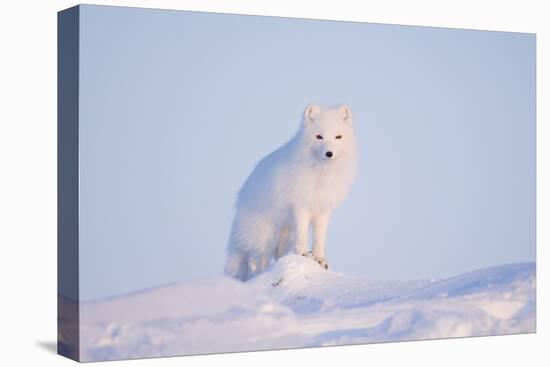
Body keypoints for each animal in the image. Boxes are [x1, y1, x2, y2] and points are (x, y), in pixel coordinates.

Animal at [225, 105, 360, 284]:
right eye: (319, 137)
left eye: (338, 137)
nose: (329, 153)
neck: (321, 174)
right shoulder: (300, 205)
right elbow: (302, 235)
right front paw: (303, 254)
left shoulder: (323, 210)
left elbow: (320, 238)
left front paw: (320, 259)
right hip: (265, 236)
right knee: (255, 261)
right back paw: (258, 276)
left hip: (283, 236)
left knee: (277, 254)